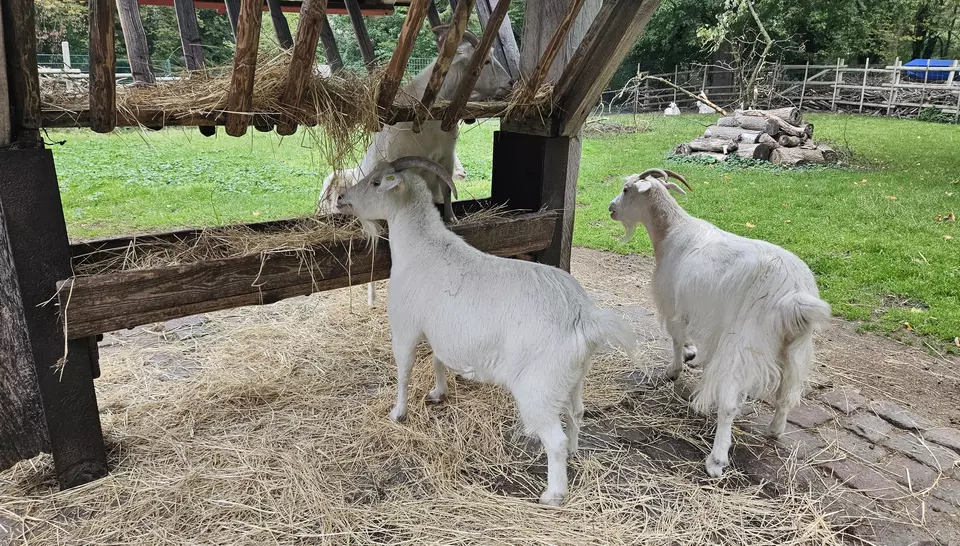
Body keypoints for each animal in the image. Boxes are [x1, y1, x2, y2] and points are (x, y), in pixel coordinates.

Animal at [337, 156, 637, 505]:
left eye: (375, 182)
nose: (342, 198)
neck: (422, 246)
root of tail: (583, 316)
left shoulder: (406, 324)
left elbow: (404, 370)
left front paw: (398, 413)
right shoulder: (443, 329)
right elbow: (438, 359)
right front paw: (438, 393)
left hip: (538, 387)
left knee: (555, 439)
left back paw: (553, 494)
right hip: (573, 379)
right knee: (576, 413)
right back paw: (575, 452)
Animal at [608, 169, 831, 478]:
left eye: (627, 189)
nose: (611, 209)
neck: (673, 232)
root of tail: (793, 294)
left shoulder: (674, 304)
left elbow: (676, 337)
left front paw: (674, 370)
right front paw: (692, 356)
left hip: (744, 342)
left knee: (729, 403)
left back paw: (716, 460)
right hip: (796, 348)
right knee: (787, 394)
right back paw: (774, 430)